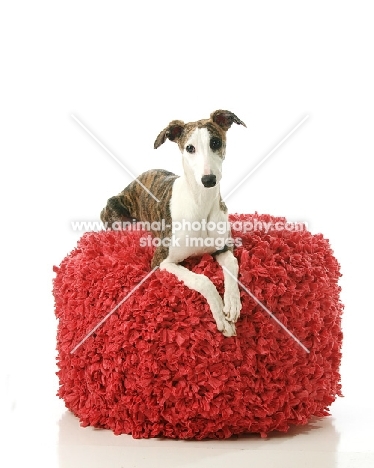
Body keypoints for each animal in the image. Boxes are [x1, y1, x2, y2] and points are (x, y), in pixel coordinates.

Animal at [102, 109, 247, 336]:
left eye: (215, 142)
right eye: (190, 148)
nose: (208, 180)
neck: (200, 204)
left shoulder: (223, 247)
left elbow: (233, 263)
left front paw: (232, 303)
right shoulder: (161, 261)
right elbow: (202, 279)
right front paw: (221, 317)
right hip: (114, 208)